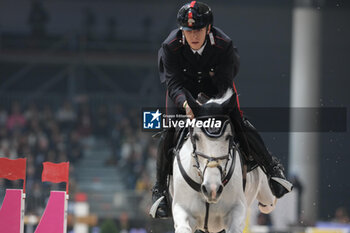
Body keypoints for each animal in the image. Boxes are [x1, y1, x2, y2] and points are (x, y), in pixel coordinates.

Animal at [168, 88, 278, 232]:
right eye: (196, 137)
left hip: (267, 198)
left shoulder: (237, 211)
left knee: (268, 203)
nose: (212, 189)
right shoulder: (182, 210)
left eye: (229, 137)